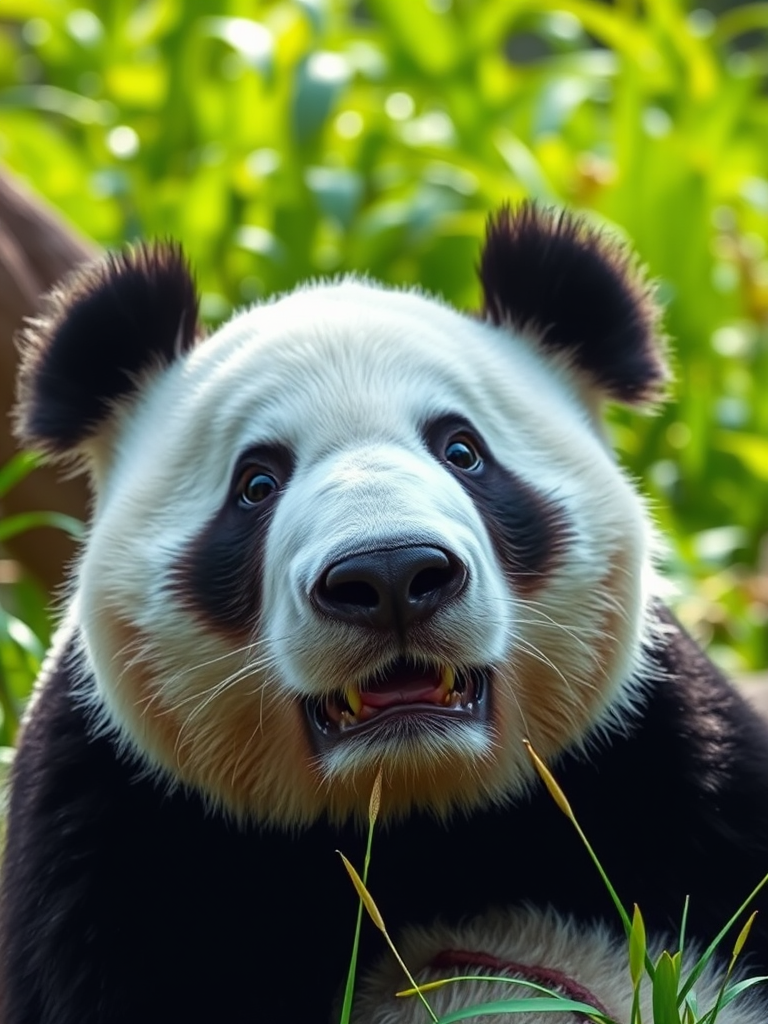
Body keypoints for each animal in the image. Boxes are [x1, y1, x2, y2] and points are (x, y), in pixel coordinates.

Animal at [2, 203, 768, 1024]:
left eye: (463, 451)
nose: (392, 573)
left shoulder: (675, 762)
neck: (409, 814)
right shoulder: (107, 830)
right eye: (256, 483)